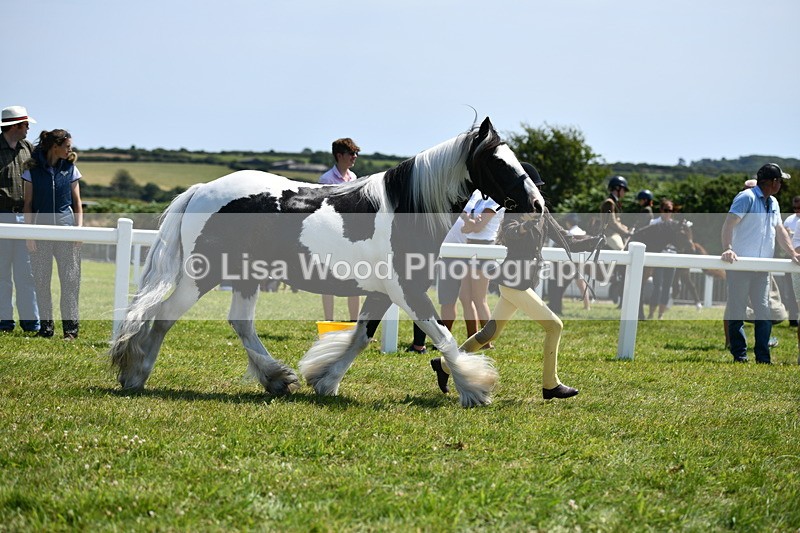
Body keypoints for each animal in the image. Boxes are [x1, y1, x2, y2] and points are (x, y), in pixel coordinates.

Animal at [109, 117, 545, 408]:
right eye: (498, 162)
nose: (538, 203)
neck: (406, 208)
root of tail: (201, 189)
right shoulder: (408, 290)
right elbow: (443, 335)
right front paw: (476, 387)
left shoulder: (383, 293)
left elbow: (360, 337)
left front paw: (325, 380)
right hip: (203, 274)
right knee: (164, 315)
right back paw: (135, 374)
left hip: (245, 275)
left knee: (241, 323)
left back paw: (277, 379)